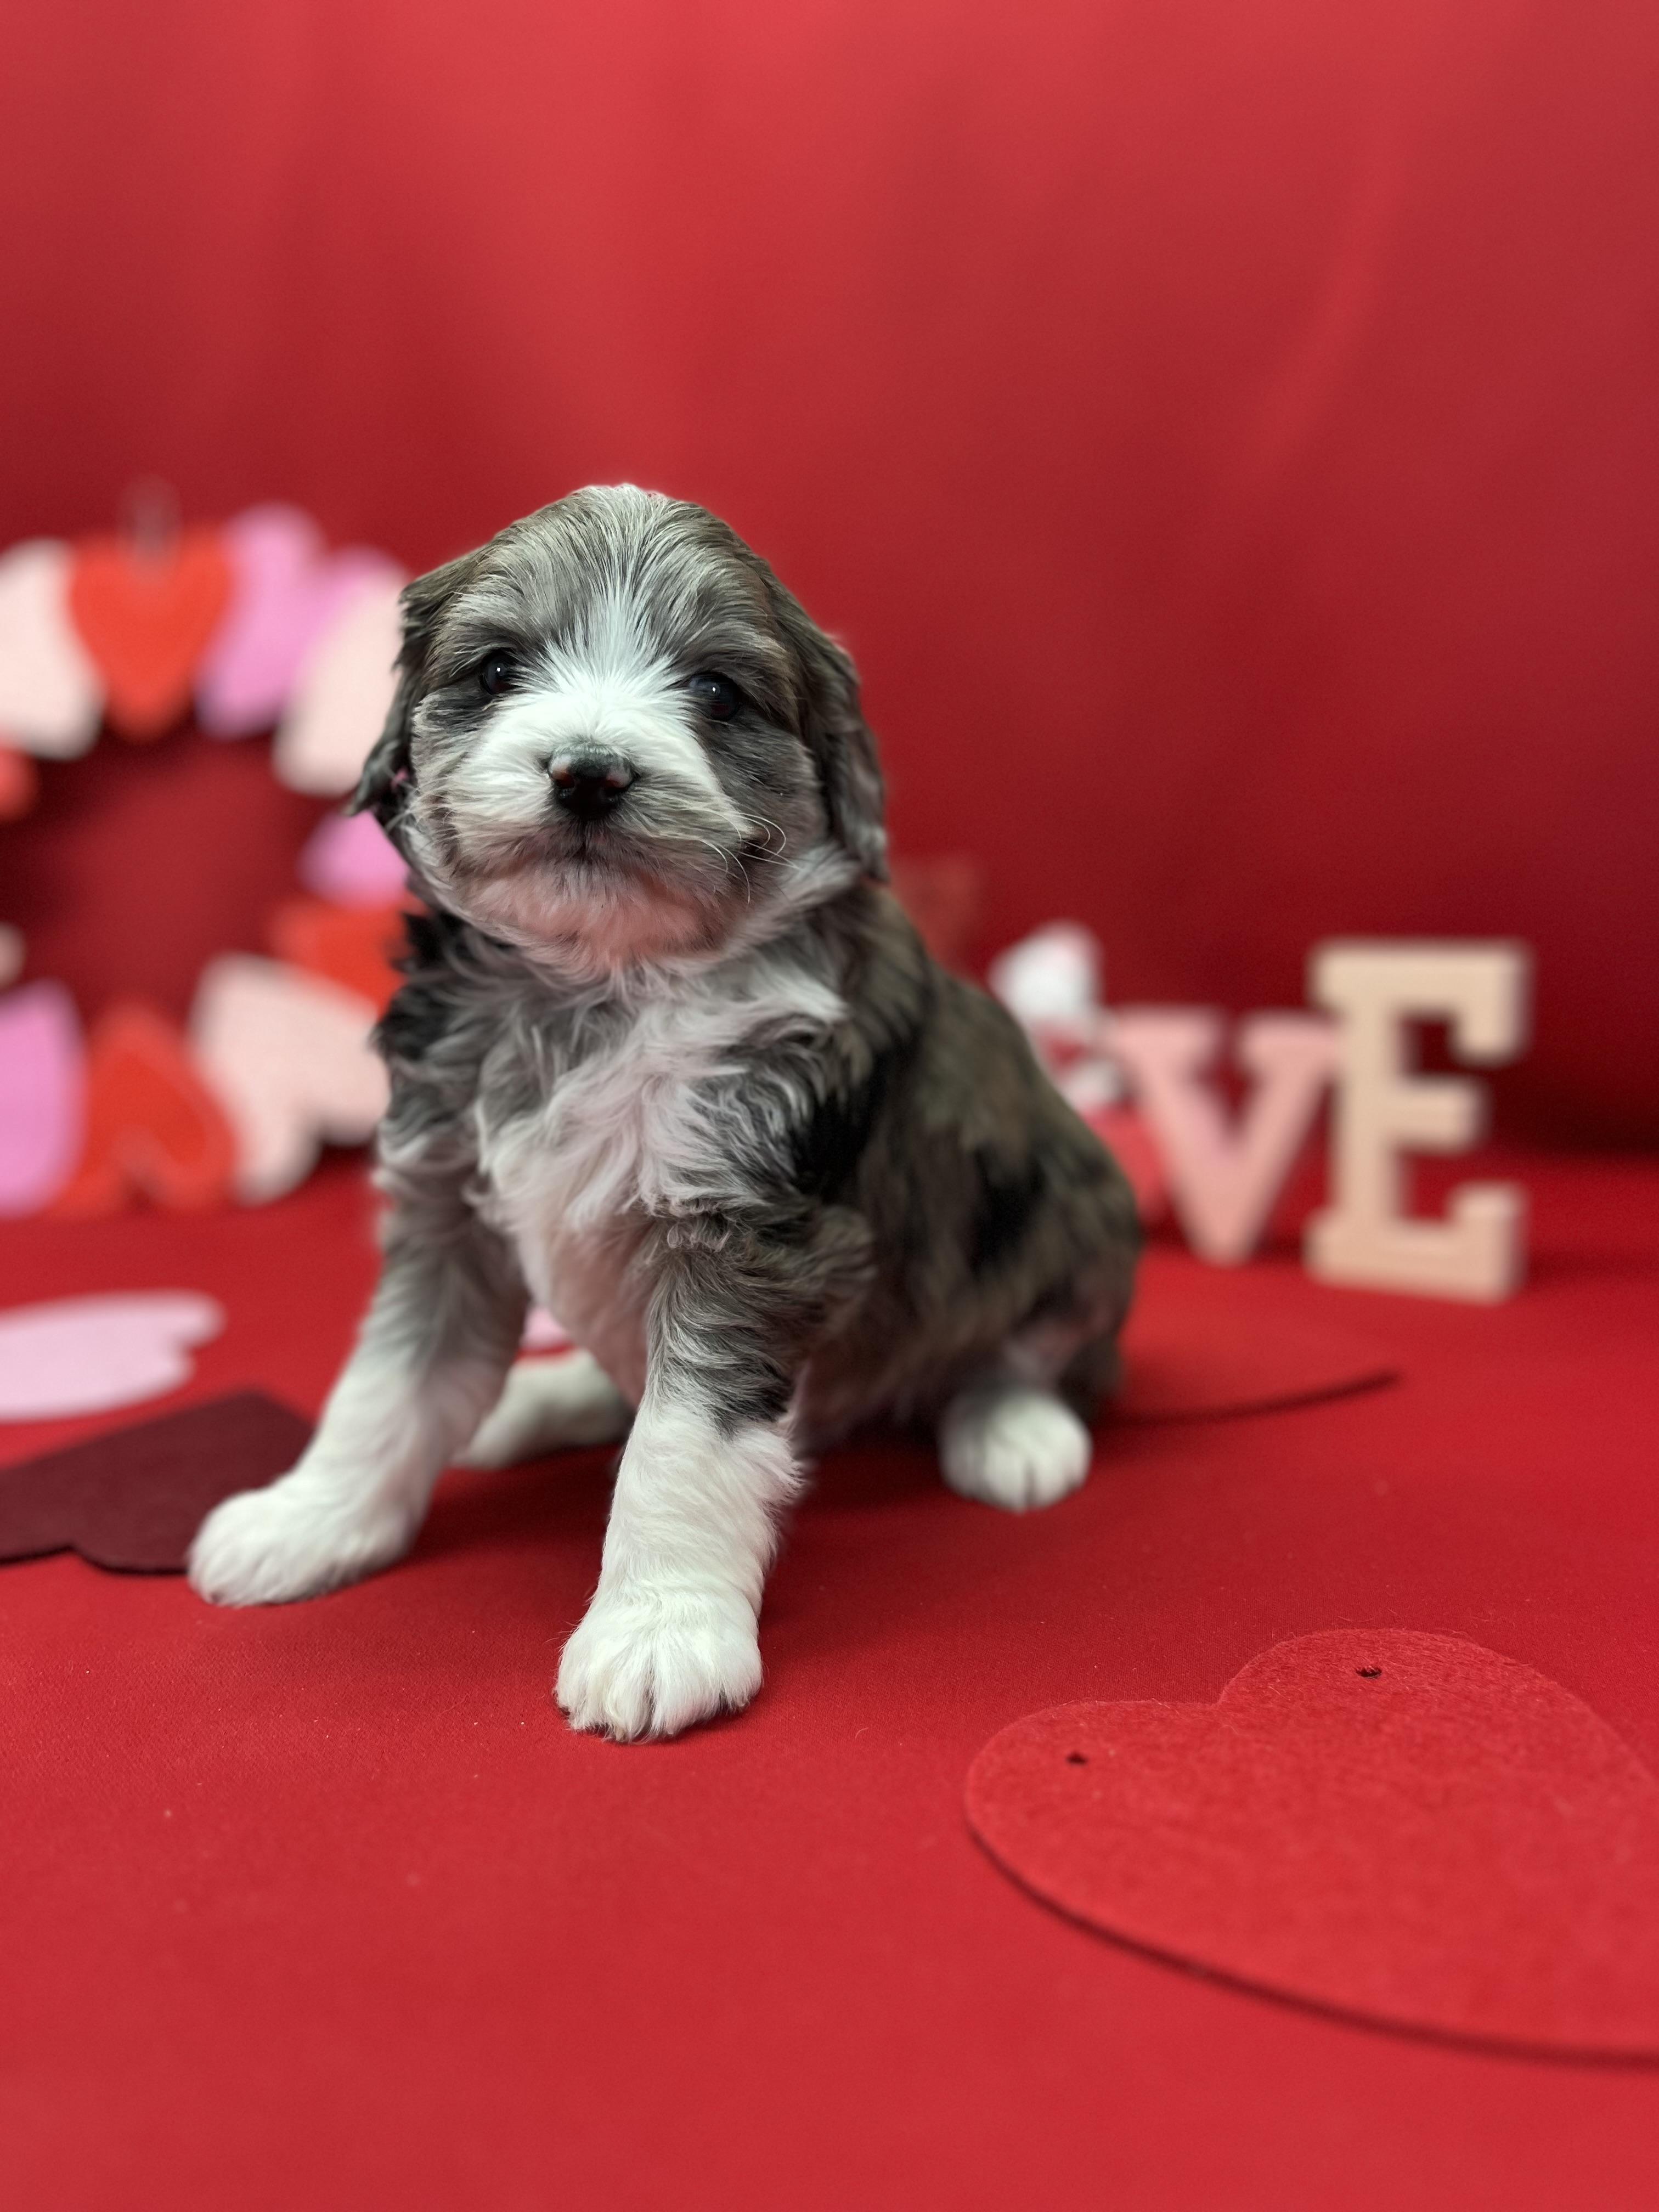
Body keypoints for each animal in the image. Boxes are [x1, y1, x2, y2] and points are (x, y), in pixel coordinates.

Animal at [188, 486, 1140, 1739]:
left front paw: (657, 1632)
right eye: (498, 669)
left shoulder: (753, 1232)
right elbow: (385, 1382)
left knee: (1026, 1349)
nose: (589, 772)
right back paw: (540, 1398)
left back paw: (1013, 1431)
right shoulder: (443, 1204)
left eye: (718, 692)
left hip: (1079, 1212)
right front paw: (307, 1519)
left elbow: (682, 1442)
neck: (604, 980)